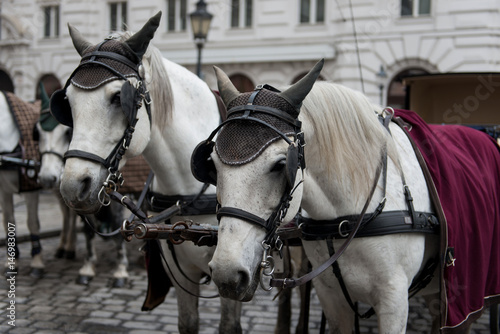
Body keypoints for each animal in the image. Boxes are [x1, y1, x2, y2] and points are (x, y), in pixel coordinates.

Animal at [52, 11, 242, 332]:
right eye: (68, 103)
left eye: (118, 98)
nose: (72, 187)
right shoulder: (179, 269)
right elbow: (187, 322)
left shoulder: (232, 273)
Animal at [203, 61, 500, 332]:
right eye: (212, 165)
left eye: (280, 165)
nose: (227, 273)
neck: (349, 218)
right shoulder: (332, 298)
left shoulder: (394, 302)